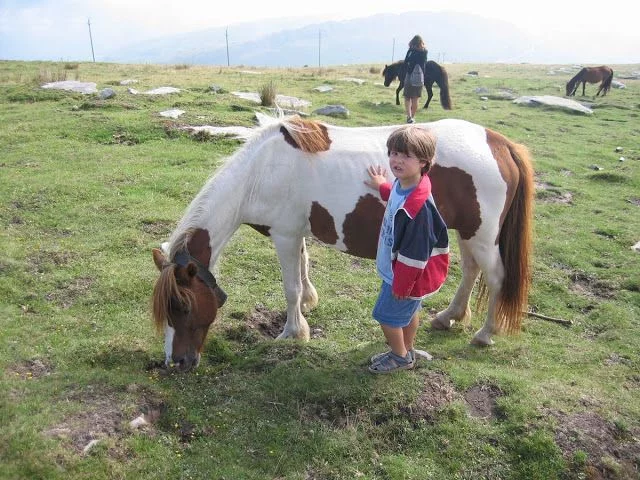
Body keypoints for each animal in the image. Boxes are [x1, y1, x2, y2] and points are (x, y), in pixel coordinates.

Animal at [151, 115, 534, 371]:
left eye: (183, 306)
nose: (176, 362)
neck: (260, 172)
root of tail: (499, 143)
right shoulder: (296, 233)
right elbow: (304, 269)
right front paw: (308, 303)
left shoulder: (284, 234)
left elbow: (290, 286)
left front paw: (293, 332)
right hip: (467, 233)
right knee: (470, 270)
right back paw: (448, 317)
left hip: (481, 236)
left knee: (496, 278)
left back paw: (484, 334)